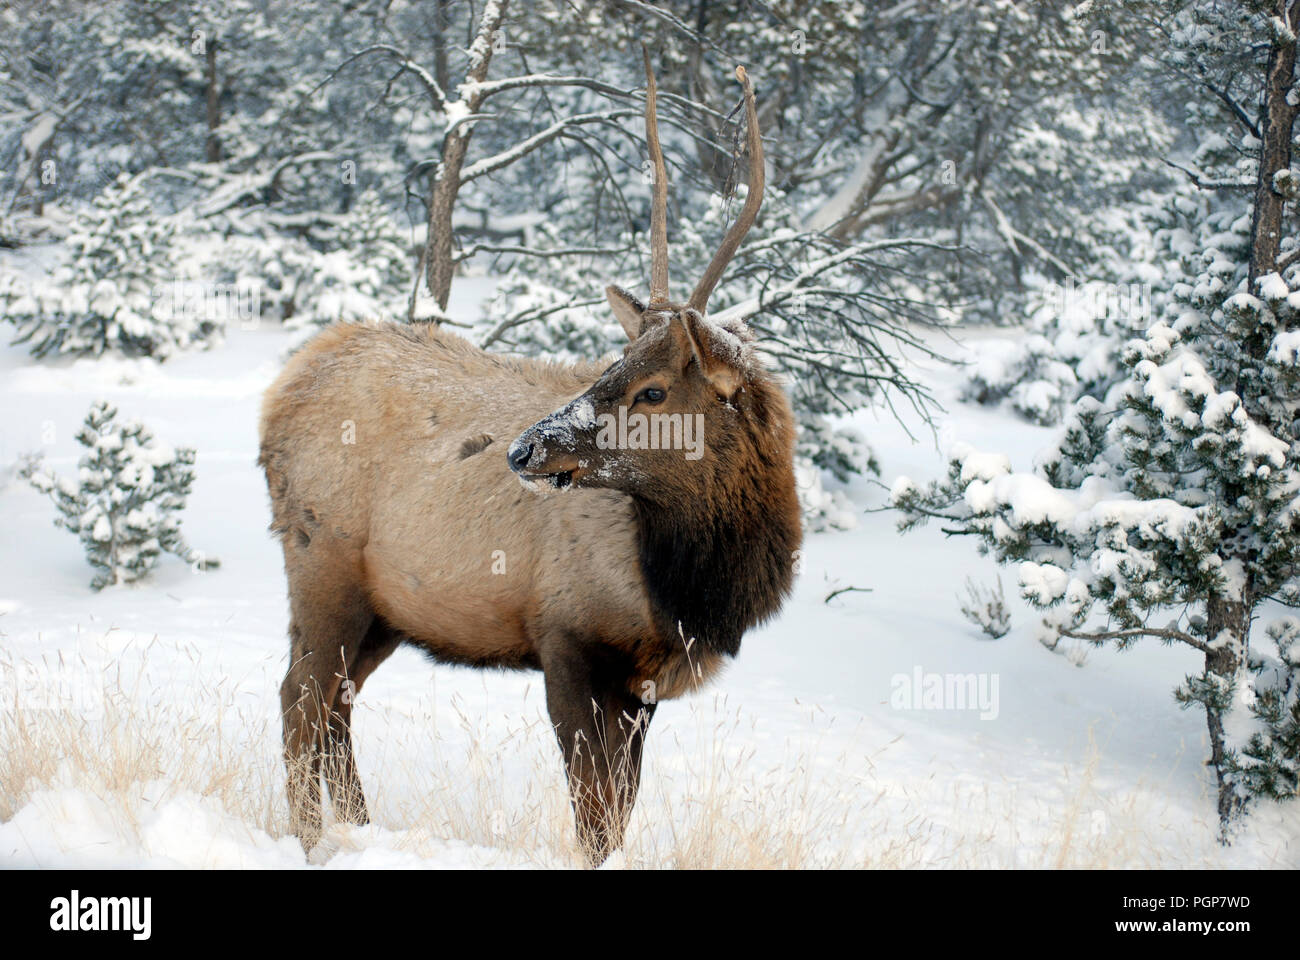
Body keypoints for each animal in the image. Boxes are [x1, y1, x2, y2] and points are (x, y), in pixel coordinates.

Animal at [256, 55, 800, 863]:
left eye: (652, 389)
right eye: (611, 364)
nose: (526, 447)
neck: (692, 587)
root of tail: (280, 392)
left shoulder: (643, 684)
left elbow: (619, 810)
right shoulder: (568, 638)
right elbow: (594, 815)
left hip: (387, 607)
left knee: (335, 707)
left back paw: (360, 828)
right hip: (322, 564)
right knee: (300, 697)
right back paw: (313, 842)